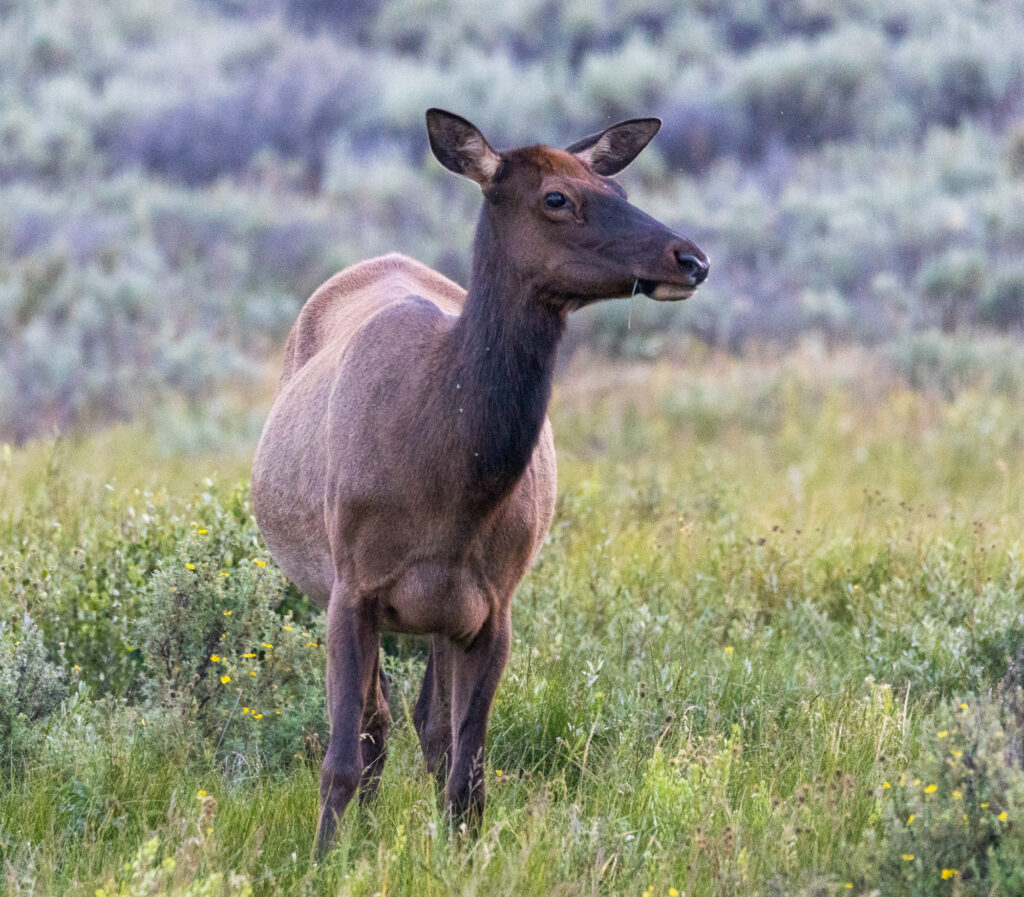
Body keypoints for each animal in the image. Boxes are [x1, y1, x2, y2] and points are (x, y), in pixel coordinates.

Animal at [251, 108, 708, 851]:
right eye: (556, 197)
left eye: (618, 189)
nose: (691, 258)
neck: (448, 487)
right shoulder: (351, 587)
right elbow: (341, 757)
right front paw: (323, 858)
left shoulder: (494, 606)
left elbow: (470, 771)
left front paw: (461, 854)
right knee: (377, 723)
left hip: (442, 614)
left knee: (426, 725)